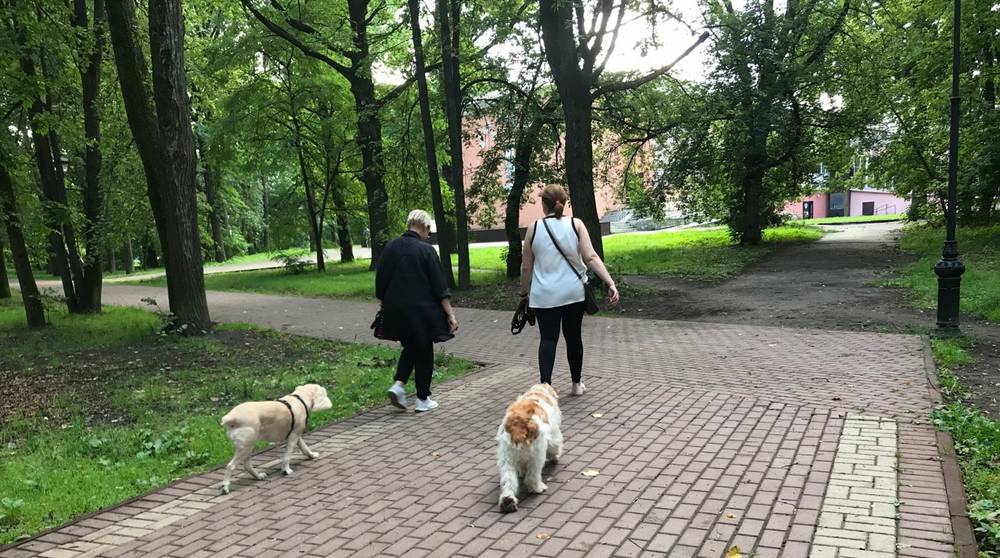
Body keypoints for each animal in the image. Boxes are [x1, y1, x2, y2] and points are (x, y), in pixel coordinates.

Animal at [494, 384, 564, 512]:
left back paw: (508, 501)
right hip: (537, 456)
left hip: (507, 459)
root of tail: (517, 427)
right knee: (532, 476)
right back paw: (538, 488)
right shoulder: (553, 434)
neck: (538, 393)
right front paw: (555, 457)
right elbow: (555, 446)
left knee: (508, 480)